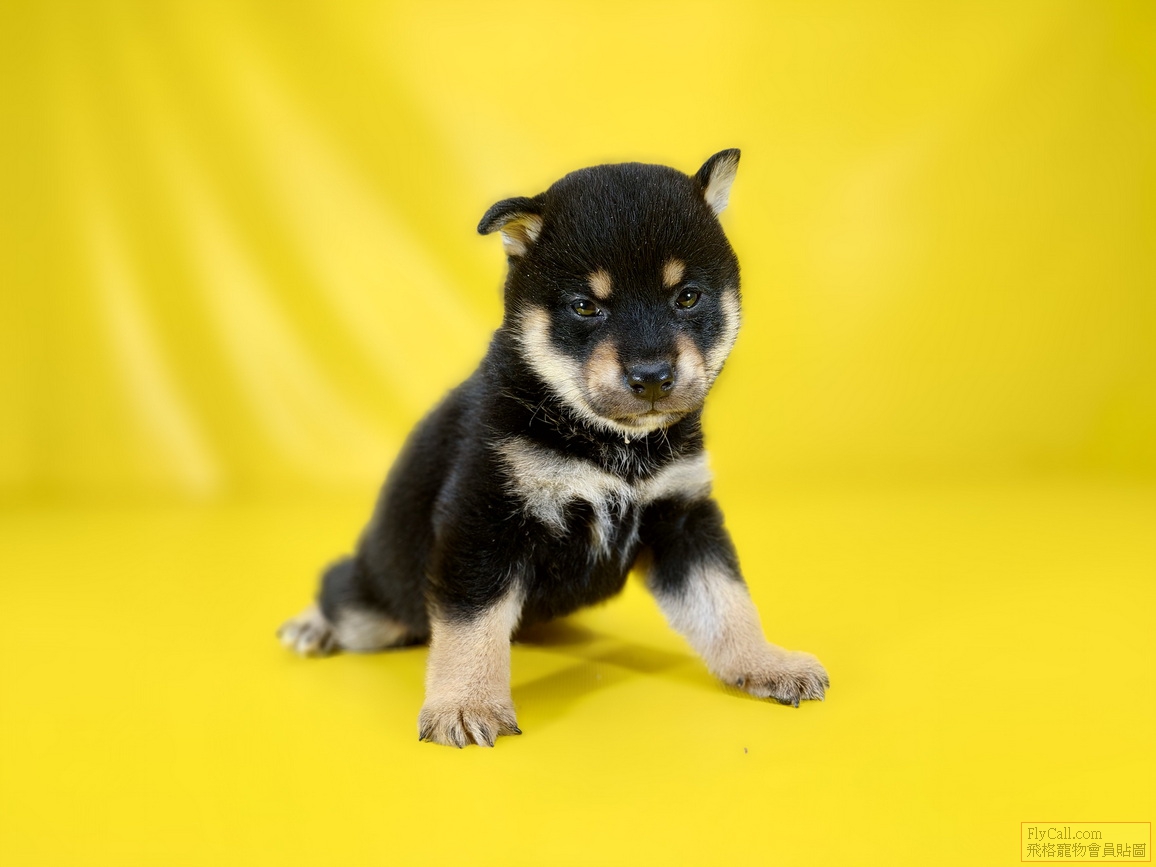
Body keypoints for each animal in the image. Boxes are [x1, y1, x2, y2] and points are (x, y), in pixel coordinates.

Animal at [278, 150, 829, 747]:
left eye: (687, 297)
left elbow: (728, 603)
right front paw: (465, 705)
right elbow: (471, 628)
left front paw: (768, 663)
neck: (610, 442)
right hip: (376, 605)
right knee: (341, 589)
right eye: (585, 306)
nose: (652, 377)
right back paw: (311, 624)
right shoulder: (484, 519)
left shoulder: (682, 519)